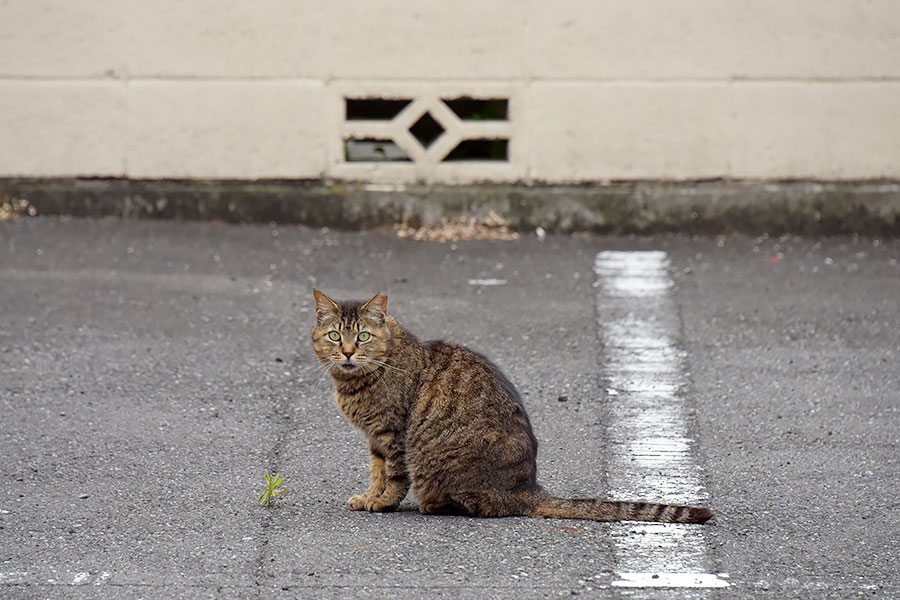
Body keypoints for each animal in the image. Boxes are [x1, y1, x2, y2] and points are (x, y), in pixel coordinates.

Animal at [312, 288, 712, 524]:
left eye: (363, 336)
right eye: (335, 335)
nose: (347, 352)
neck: (355, 382)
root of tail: (528, 488)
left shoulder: (393, 433)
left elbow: (394, 476)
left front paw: (383, 502)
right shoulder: (375, 438)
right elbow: (376, 472)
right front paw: (369, 496)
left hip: (440, 464)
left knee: (482, 506)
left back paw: (436, 504)